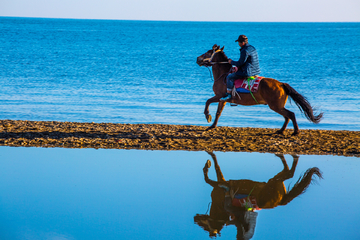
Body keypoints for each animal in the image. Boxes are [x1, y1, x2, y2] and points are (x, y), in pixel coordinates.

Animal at [194, 151, 324, 239]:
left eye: (204, 227)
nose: (195, 219)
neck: (220, 206)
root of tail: (281, 201)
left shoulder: (220, 184)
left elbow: (213, 170)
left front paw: (207, 163)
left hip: (273, 182)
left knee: (289, 173)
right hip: (275, 182)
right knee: (288, 172)